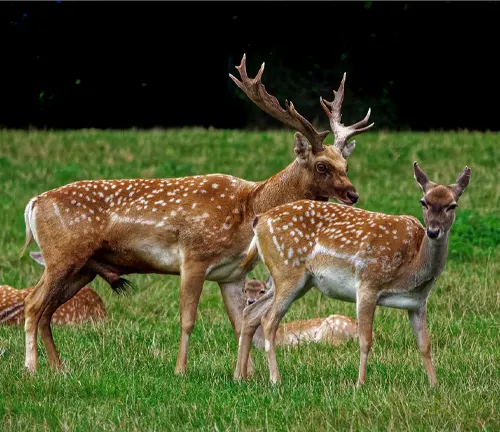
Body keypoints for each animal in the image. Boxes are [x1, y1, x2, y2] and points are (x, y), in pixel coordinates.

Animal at [17, 53, 374, 374]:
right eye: (322, 166)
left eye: (345, 164)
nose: (353, 194)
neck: (249, 208)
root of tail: (34, 203)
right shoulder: (193, 256)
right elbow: (188, 319)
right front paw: (180, 371)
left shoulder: (231, 273)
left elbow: (240, 322)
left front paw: (247, 376)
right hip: (63, 256)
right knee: (33, 305)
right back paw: (31, 369)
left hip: (83, 268)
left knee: (46, 310)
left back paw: (59, 368)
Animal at [234, 163, 468, 388]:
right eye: (423, 202)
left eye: (452, 205)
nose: (433, 231)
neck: (414, 266)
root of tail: (259, 220)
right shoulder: (368, 283)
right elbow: (366, 340)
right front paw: (359, 384)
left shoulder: (418, 302)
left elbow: (425, 344)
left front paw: (434, 385)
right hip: (287, 272)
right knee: (268, 319)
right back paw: (275, 379)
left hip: (292, 280)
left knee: (251, 313)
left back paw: (240, 376)